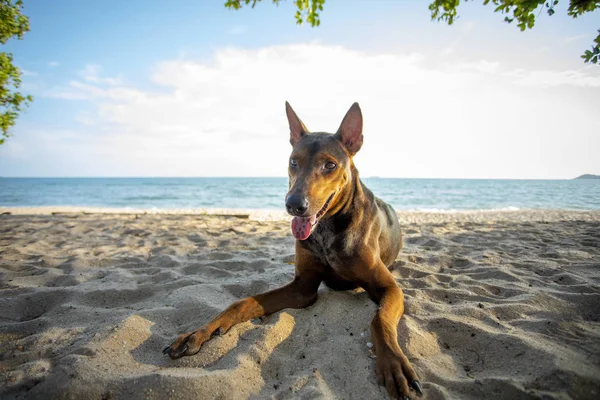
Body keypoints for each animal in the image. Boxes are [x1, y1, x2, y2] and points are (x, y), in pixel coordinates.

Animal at [164, 104, 422, 400]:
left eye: (330, 165)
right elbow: (242, 302)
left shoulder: (390, 289)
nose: (293, 204)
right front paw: (198, 332)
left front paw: (394, 364)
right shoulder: (302, 288)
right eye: (293, 162)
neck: (326, 230)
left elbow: (379, 320)